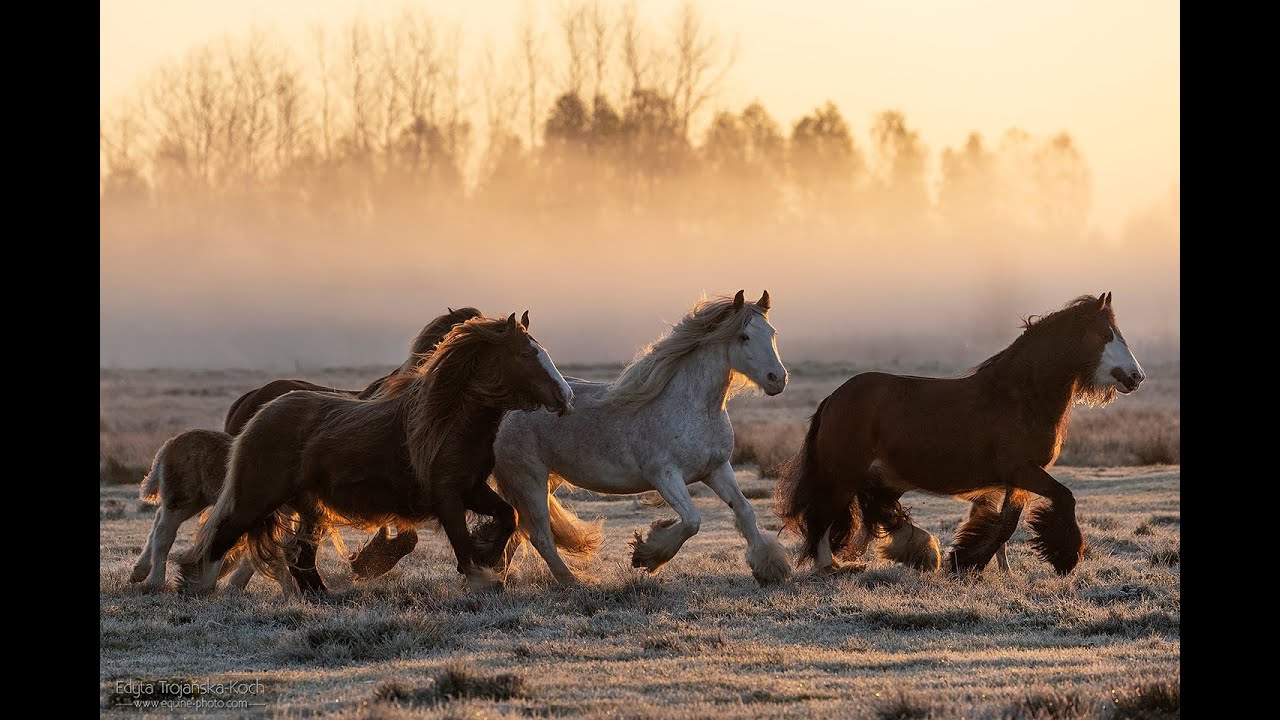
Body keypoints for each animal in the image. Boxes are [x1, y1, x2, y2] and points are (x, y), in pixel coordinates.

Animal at [174, 313, 574, 595]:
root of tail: (260, 413)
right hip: (257, 498)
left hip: (308, 506)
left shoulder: (472, 488)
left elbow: (507, 516)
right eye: (526, 354)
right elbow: (462, 542)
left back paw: (323, 597)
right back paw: (196, 588)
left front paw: (489, 555)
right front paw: (481, 577)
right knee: (223, 535)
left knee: (299, 556)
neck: (447, 421)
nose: (565, 397)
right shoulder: (446, 494)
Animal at [491, 290, 793, 586]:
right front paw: (647, 554)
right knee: (539, 535)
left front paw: (771, 569)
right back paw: (571, 582)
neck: (694, 407)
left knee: (519, 531)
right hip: (529, 480)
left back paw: (497, 579)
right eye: (744, 336)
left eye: (773, 332)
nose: (777, 379)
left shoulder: (717, 469)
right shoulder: (665, 475)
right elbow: (692, 520)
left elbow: (745, 511)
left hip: (545, 482)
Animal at [775, 292, 1147, 576]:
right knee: (823, 515)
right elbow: (1061, 499)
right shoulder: (1023, 471)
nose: (1136, 376)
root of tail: (834, 398)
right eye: (1105, 335)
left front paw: (976, 564)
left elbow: (1004, 524)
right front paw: (1064, 558)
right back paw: (831, 567)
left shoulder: (1014, 480)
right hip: (843, 474)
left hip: (875, 475)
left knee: (871, 508)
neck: (1017, 397)